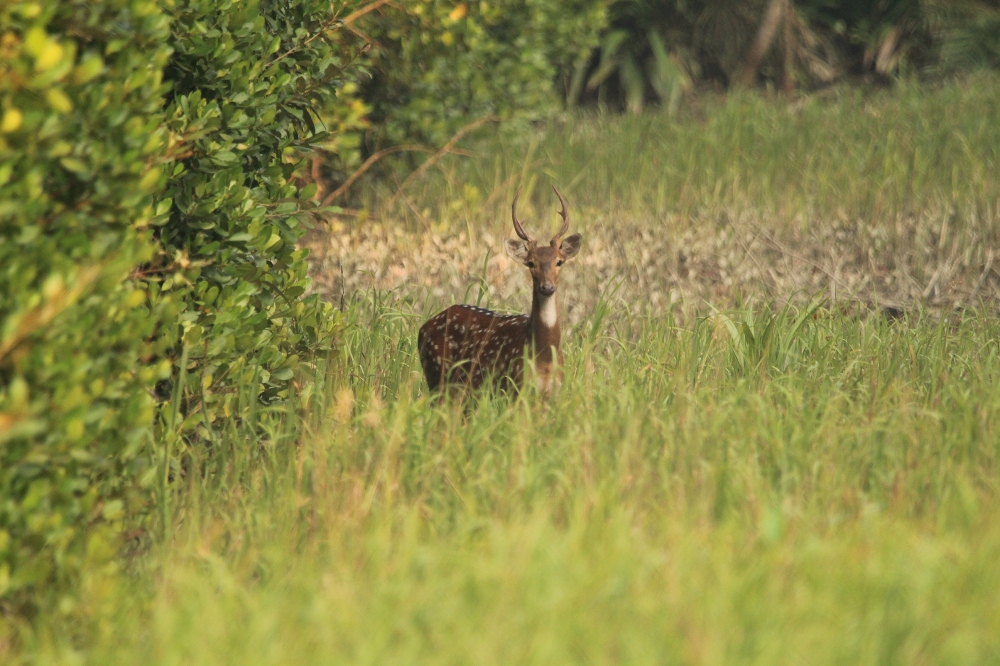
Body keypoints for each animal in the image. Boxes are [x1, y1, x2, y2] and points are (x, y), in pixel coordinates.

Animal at [417, 186, 583, 395]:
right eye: (531, 263)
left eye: (559, 261)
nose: (547, 287)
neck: (544, 359)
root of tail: (422, 328)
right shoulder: (514, 385)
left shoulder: (554, 392)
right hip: (436, 373)